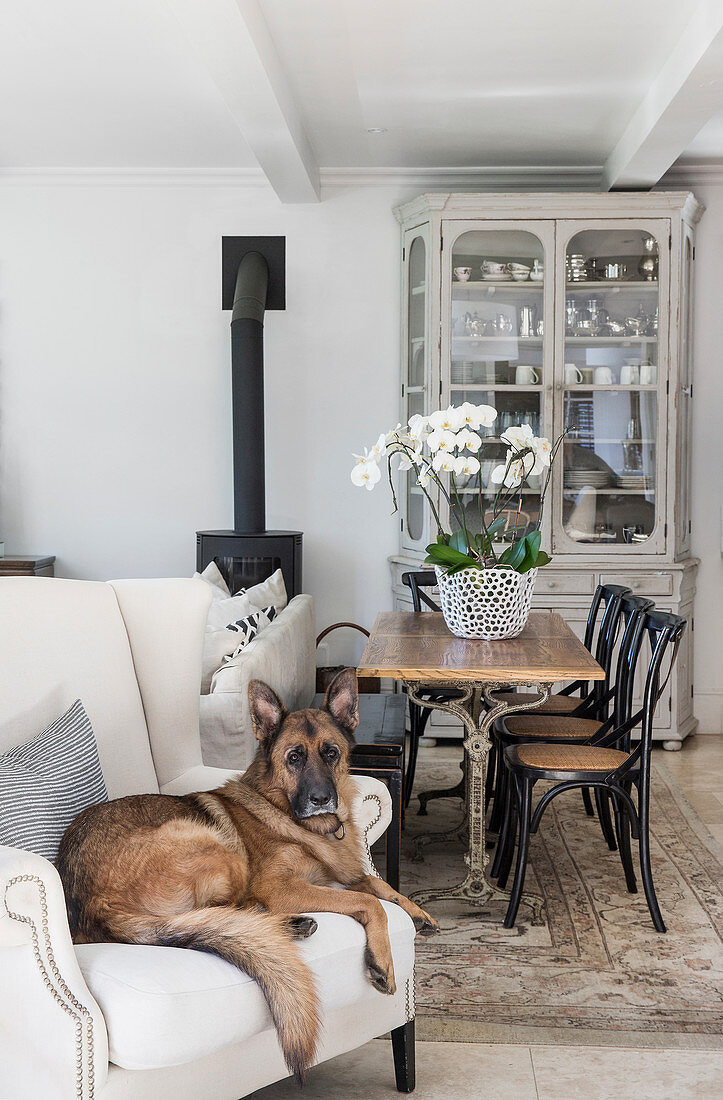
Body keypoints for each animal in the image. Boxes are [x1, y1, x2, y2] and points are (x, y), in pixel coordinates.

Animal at [56, 664, 437, 1078]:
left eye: (331, 753)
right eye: (294, 758)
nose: (321, 799)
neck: (297, 819)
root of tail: (90, 900)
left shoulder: (342, 874)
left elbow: (376, 885)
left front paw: (417, 911)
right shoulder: (280, 887)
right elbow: (369, 902)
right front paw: (383, 960)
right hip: (217, 849)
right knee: (217, 915)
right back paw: (285, 923)